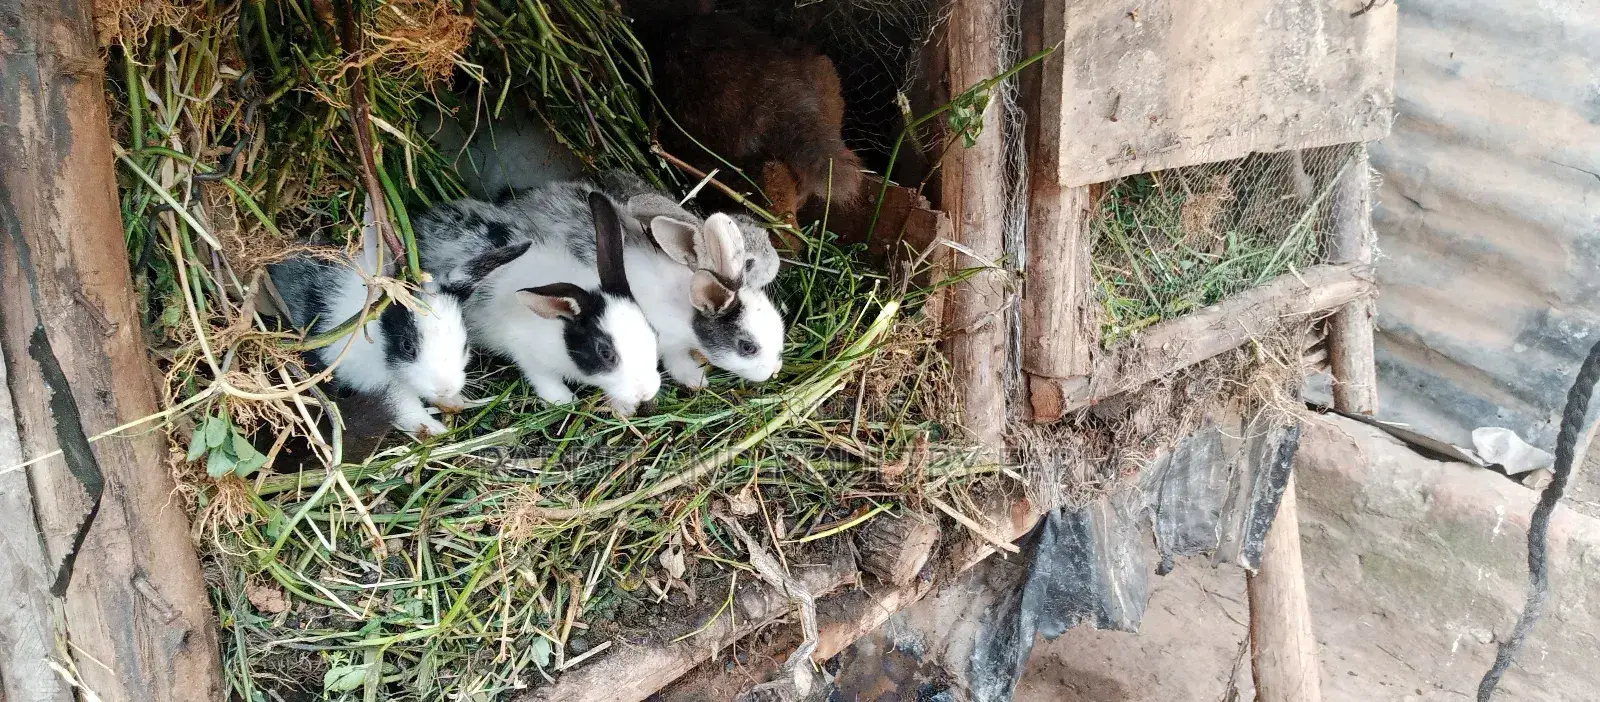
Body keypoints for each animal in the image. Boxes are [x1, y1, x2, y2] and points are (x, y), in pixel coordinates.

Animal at [418, 191, 663, 417]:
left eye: (652, 332)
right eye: (606, 353)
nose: (645, 392)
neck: (559, 326)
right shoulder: (526, 353)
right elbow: (542, 377)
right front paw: (563, 400)